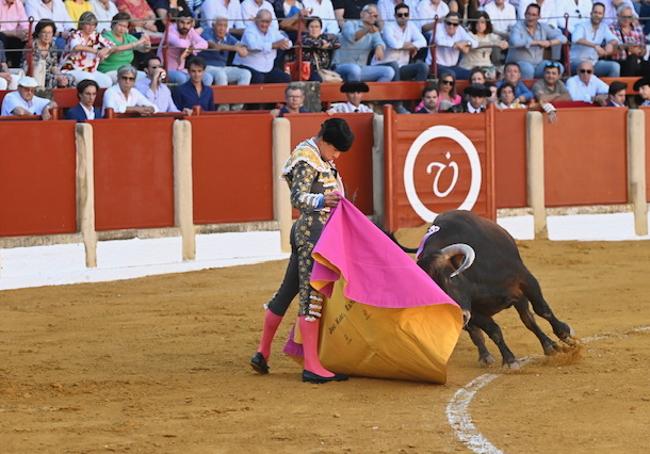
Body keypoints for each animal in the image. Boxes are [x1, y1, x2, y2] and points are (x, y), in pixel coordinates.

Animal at [394, 211, 572, 368]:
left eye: (450, 278)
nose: (457, 315)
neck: (475, 281)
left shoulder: (524, 280)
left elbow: (542, 310)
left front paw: (565, 335)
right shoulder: (473, 312)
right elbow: (493, 331)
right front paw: (510, 360)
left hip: (519, 296)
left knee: (528, 319)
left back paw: (549, 345)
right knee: (477, 334)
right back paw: (485, 356)